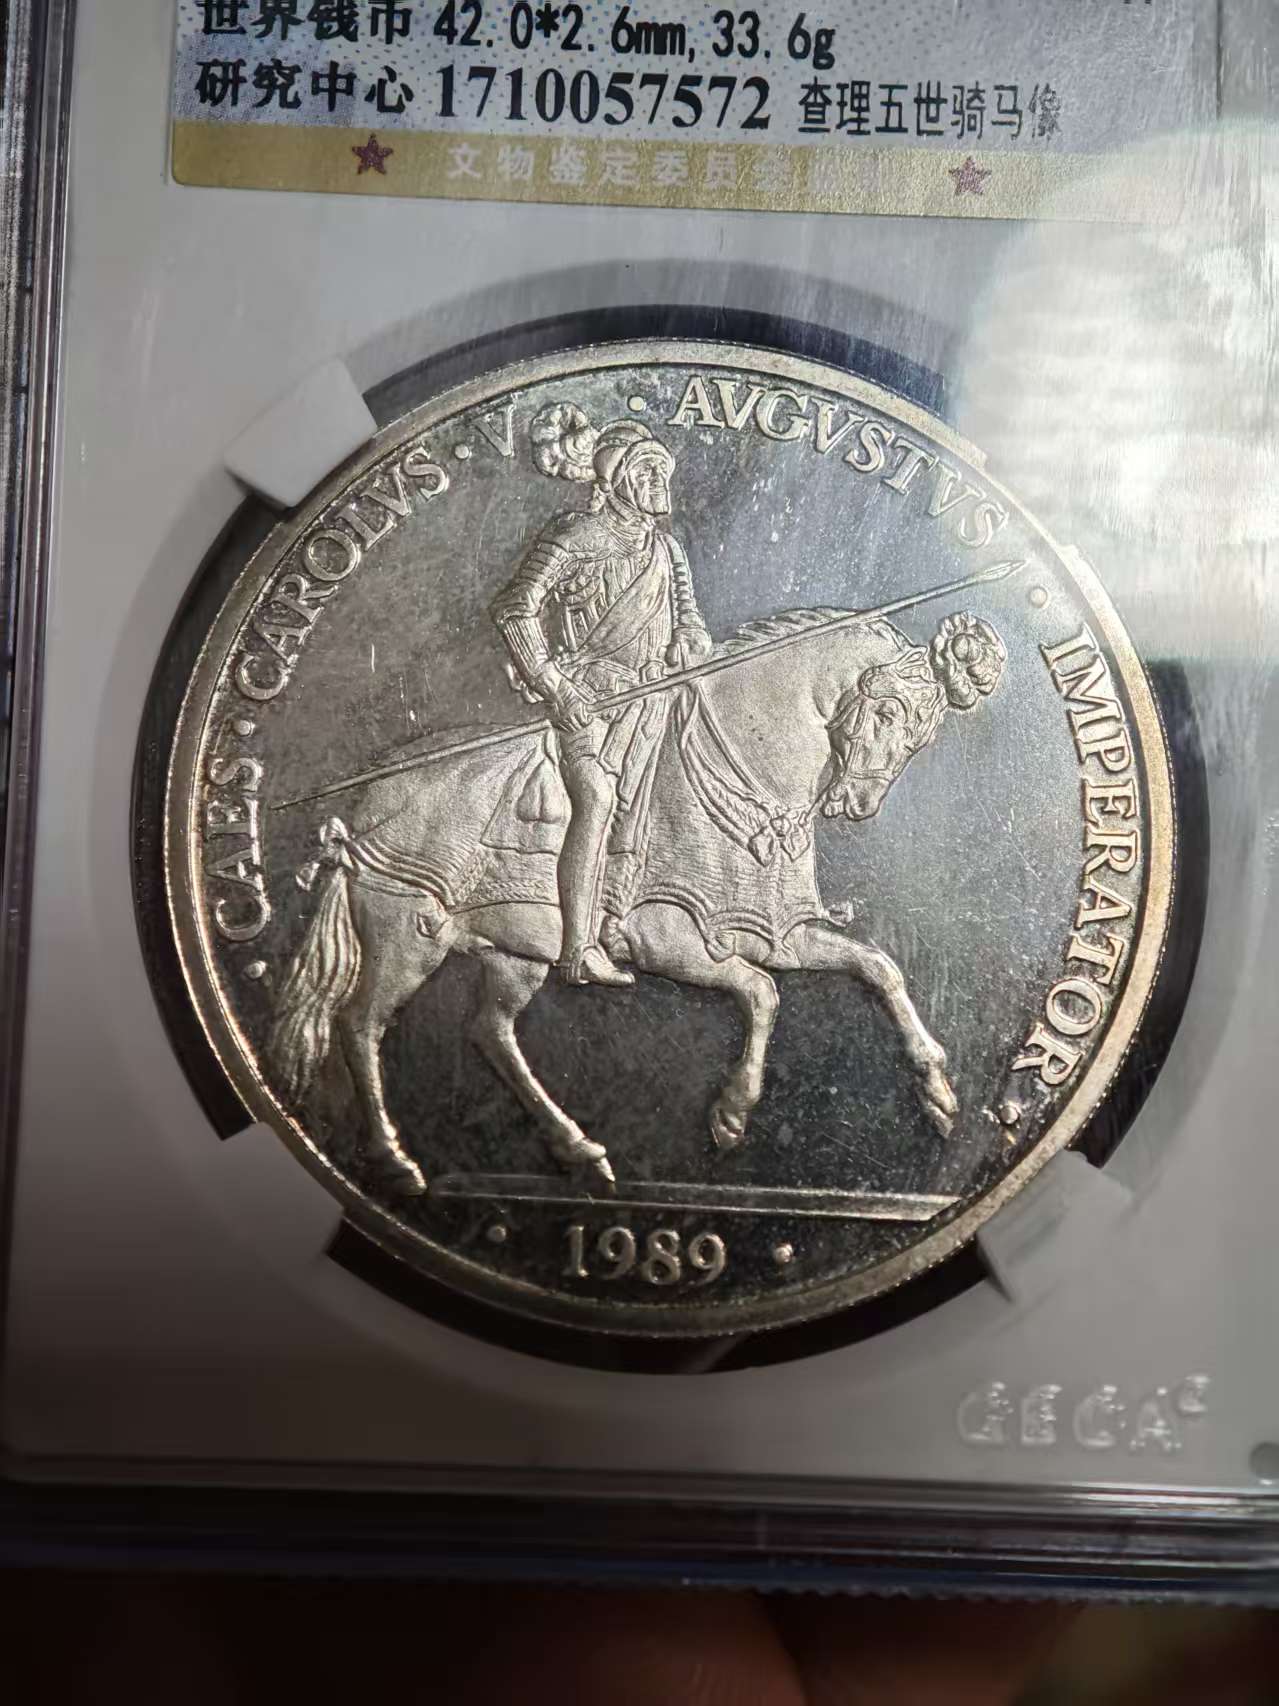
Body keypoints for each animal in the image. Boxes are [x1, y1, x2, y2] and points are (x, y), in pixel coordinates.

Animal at [268, 608, 1005, 1195]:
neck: (746, 765)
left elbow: (878, 968)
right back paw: (397, 1163)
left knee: (490, 1032)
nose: (855, 805)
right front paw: (732, 1113)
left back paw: (579, 1150)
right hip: (406, 937)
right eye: (884, 712)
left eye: (921, 736)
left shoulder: (777, 933)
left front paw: (938, 1093)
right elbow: (763, 992)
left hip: (513, 955)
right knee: (360, 1026)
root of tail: (363, 805)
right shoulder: (667, 939)